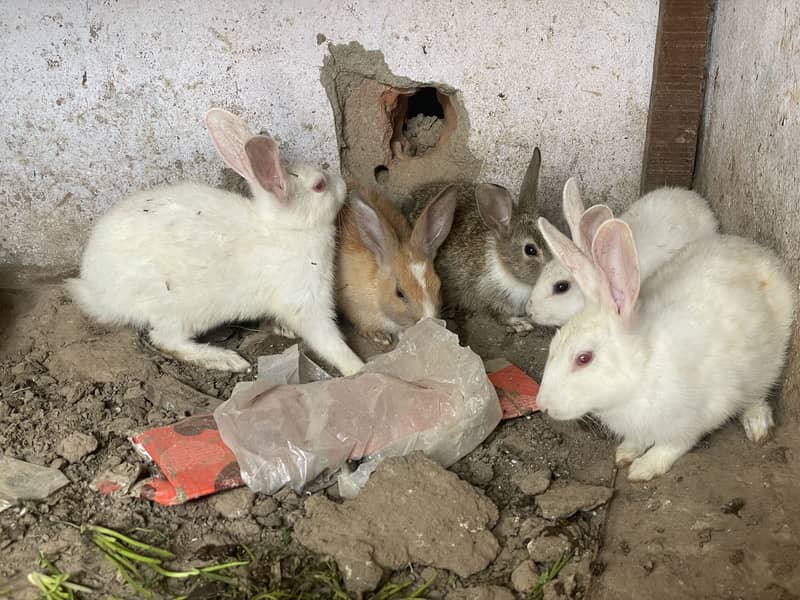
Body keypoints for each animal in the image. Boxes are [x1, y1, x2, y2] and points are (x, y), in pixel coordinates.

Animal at [66, 108, 364, 376]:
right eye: (320, 186)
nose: (343, 184)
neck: (287, 228)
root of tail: (97, 290)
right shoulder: (306, 301)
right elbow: (328, 340)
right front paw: (357, 367)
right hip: (178, 310)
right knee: (166, 341)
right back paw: (226, 360)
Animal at [534, 213, 796, 481]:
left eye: (584, 358)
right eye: (553, 346)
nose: (543, 405)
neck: (641, 372)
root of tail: (756, 250)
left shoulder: (697, 417)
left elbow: (673, 445)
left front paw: (644, 468)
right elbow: (637, 440)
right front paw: (626, 453)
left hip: (767, 365)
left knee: (757, 395)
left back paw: (757, 425)